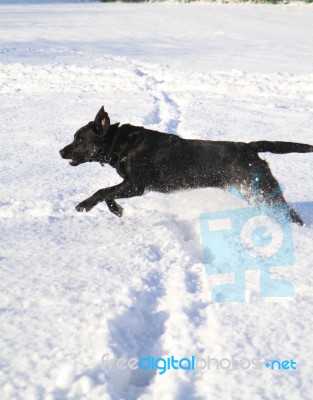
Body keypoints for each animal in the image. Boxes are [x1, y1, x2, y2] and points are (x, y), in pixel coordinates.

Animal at [59, 106, 312, 225]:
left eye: (79, 139)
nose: (61, 151)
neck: (121, 144)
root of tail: (248, 147)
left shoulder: (136, 185)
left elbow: (103, 191)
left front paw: (84, 205)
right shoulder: (131, 186)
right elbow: (109, 195)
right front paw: (117, 210)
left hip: (260, 189)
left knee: (289, 213)